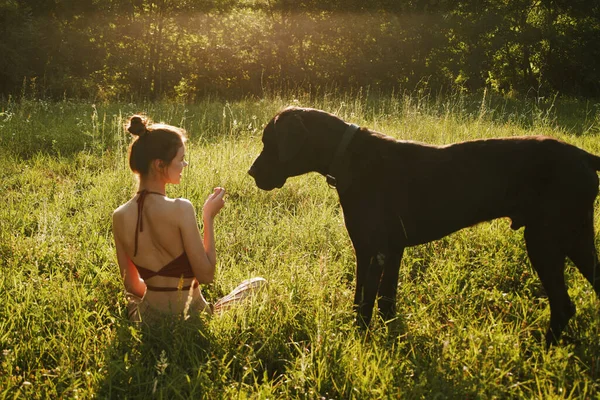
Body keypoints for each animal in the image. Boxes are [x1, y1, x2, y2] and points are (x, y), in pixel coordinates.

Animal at [247, 107, 600, 346]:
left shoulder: (372, 251)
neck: (347, 156)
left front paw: (359, 341)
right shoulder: (387, 251)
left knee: (563, 305)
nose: (251, 172)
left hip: (545, 241)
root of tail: (583, 155)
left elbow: (364, 305)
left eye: (268, 141)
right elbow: (383, 302)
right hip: (577, 239)